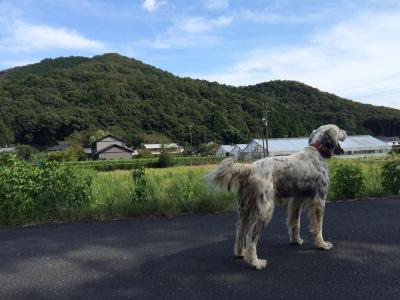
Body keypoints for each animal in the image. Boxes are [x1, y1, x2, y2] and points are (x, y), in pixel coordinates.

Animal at [209, 124, 346, 270]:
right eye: (339, 129)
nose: (346, 131)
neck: (317, 151)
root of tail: (250, 167)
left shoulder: (297, 200)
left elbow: (295, 222)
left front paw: (296, 240)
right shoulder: (319, 200)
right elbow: (318, 227)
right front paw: (322, 244)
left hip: (244, 210)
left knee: (240, 232)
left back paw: (240, 253)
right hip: (266, 209)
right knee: (250, 236)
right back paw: (255, 262)